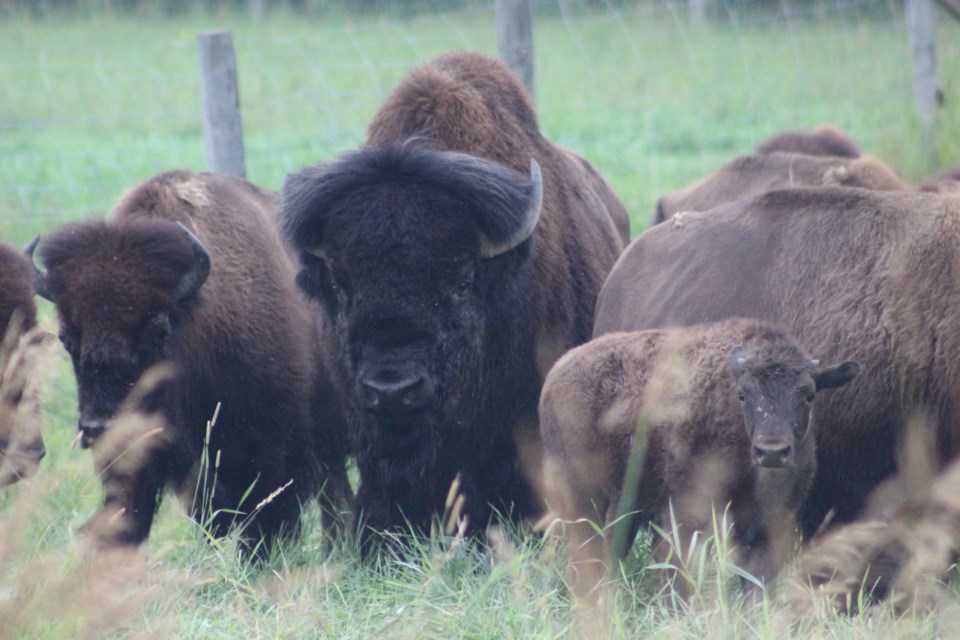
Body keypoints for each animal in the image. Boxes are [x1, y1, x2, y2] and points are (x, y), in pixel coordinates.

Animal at [540, 318, 864, 604]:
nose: (771, 451)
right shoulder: (682, 519)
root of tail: (556, 374)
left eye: (809, 395)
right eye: (743, 394)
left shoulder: (767, 530)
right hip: (583, 500)